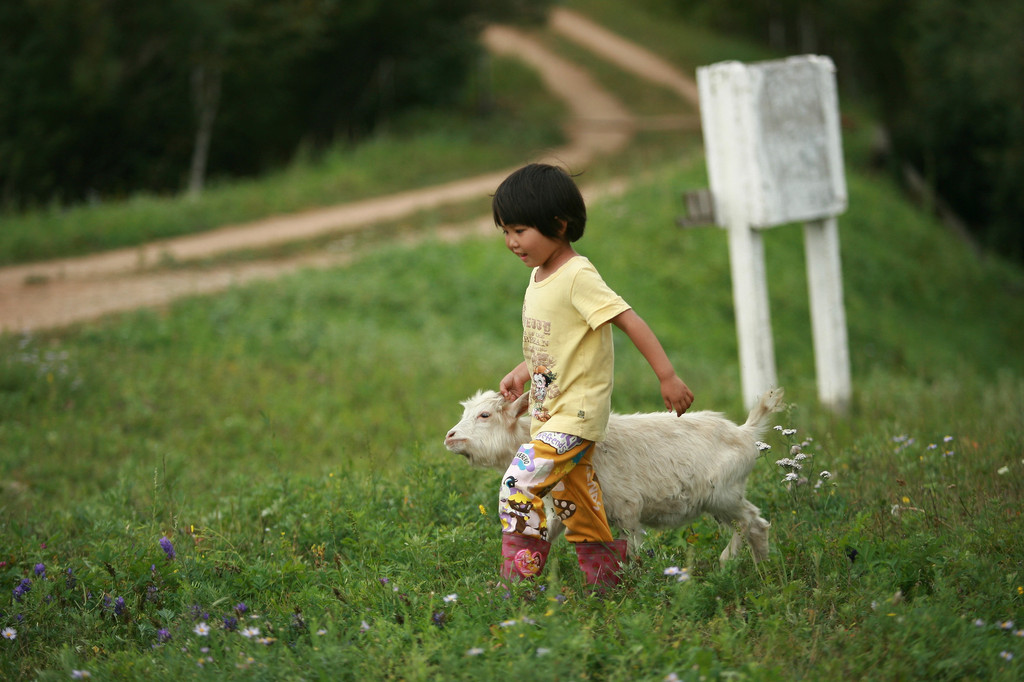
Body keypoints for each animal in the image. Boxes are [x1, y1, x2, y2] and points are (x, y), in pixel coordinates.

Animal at [444, 387, 786, 561]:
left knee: (753, 522)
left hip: (724, 494)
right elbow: (548, 536)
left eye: (484, 415)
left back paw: (743, 565)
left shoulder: (627, 508)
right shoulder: (565, 511)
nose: (450, 437)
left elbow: (630, 548)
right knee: (750, 526)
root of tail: (746, 432)